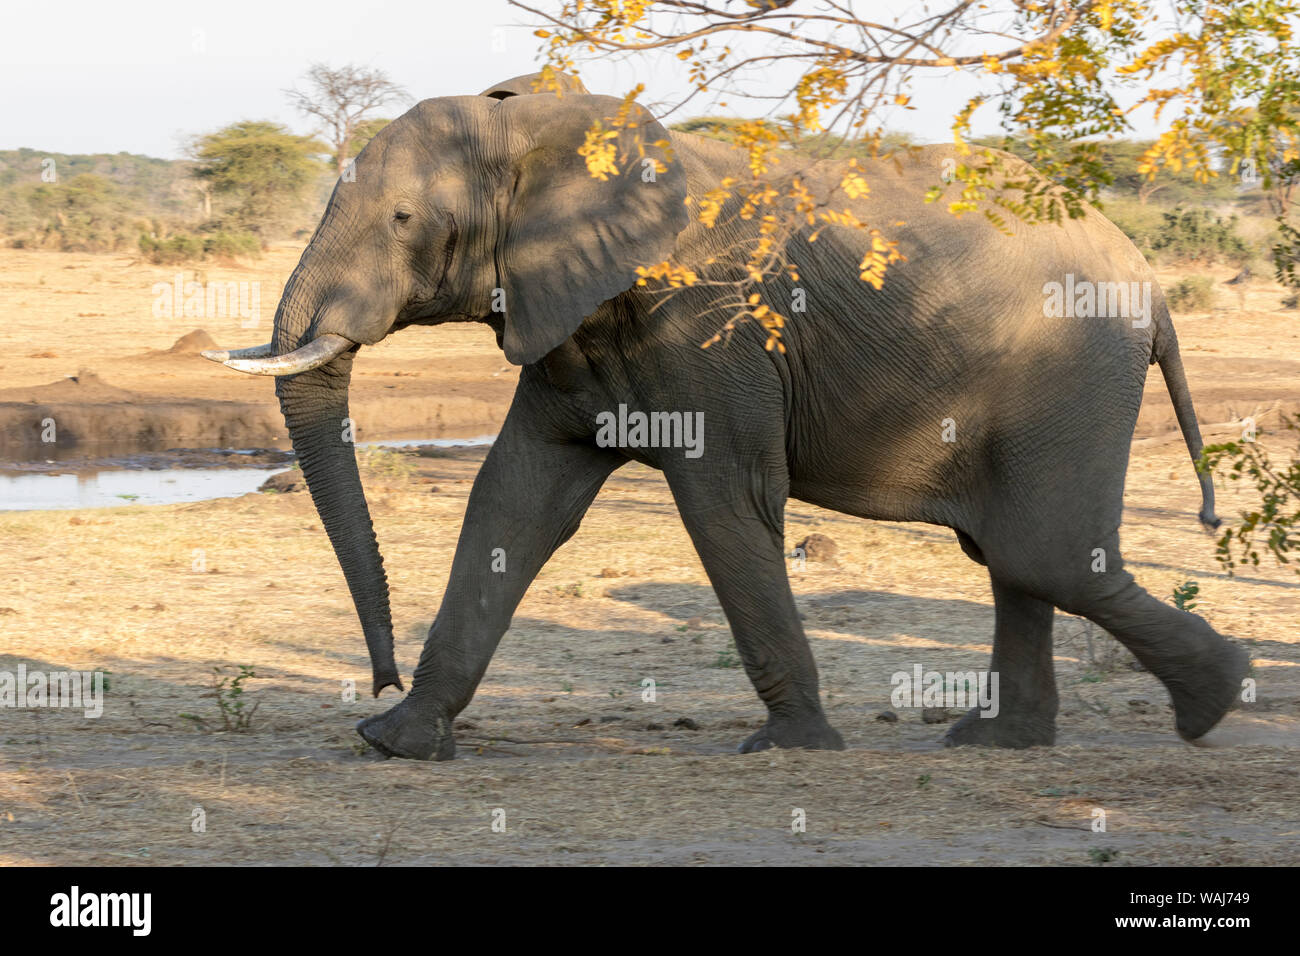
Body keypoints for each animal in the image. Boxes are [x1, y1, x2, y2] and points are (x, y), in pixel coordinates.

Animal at [204, 71, 1249, 760]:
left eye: (404, 224)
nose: (374, 677)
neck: (549, 126)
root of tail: (1152, 286)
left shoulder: (713, 328)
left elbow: (723, 501)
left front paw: (793, 746)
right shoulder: (570, 318)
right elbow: (512, 500)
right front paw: (396, 739)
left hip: (1069, 370)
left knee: (1041, 553)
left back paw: (1218, 698)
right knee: (1012, 556)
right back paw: (998, 743)